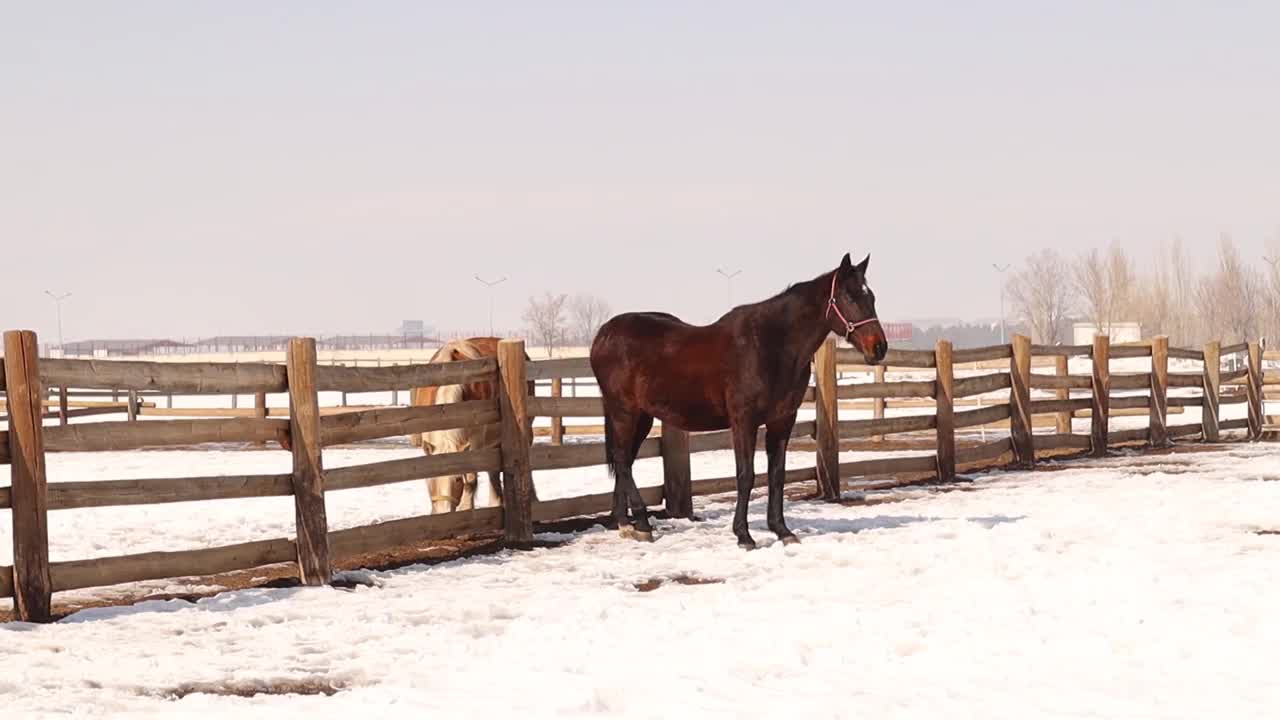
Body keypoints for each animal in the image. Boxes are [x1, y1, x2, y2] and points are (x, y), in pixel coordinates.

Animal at [407, 335, 532, 509]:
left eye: (457, 479)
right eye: (431, 481)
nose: (444, 511)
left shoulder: (476, 440)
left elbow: (471, 478)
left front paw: (466, 508)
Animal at [586, 251, 880, 543]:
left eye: (872, 298)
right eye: (849, 296)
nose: (879, 347)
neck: (771, 346)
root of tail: (603, 335)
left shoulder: (782, 421)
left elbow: (777, 475)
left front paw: (782, 530)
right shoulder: (743, 421)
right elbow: (745, 475)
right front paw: (744, 535)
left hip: (642, 416)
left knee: (624, 460)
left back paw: (626, 524)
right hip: (624, 412)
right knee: (622, 460)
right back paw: (642, 523)